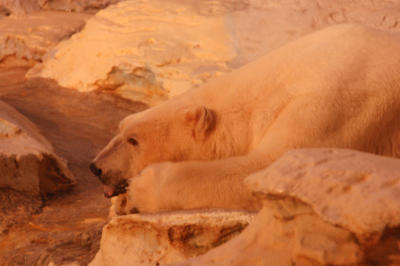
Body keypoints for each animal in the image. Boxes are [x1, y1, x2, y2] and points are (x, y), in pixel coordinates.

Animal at [90, 23, 400, 213]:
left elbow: (273, 167)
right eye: (121, 127)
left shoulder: (337, 101)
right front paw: (124, 203)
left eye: (134, 140)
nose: (96, 167)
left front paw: (141, 188)